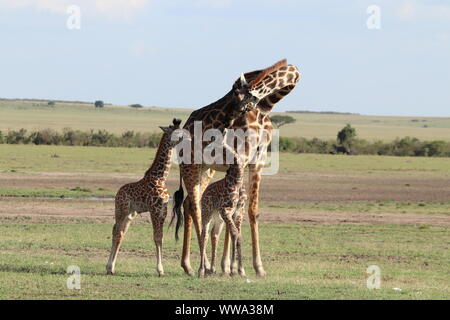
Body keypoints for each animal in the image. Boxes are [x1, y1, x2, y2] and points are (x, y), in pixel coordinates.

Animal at [105, 119, 183, 276]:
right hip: (121, 210)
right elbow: (156, 237)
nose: (186, 137)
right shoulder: (154, 209)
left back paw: (112, 267)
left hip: (131, 213)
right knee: (116, 231)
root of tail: (117, 193)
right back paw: (109, 267)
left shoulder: (163, 209)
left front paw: (161, 269)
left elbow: (161, 237)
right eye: (176, 131)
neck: (160, 177)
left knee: (121, 233)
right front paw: (160, 270)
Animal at [200, 140, 246, 278]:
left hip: (218, 217)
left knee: (213, 234)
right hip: (207, 213)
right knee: (204, 235)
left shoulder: (239, 212)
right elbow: (234, 233)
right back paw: (201, 270)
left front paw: (241, 270)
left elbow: (238, 235)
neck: (237, 182)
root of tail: (204, 193)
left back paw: (212, 269)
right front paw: (232, 269)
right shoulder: (225, 210)